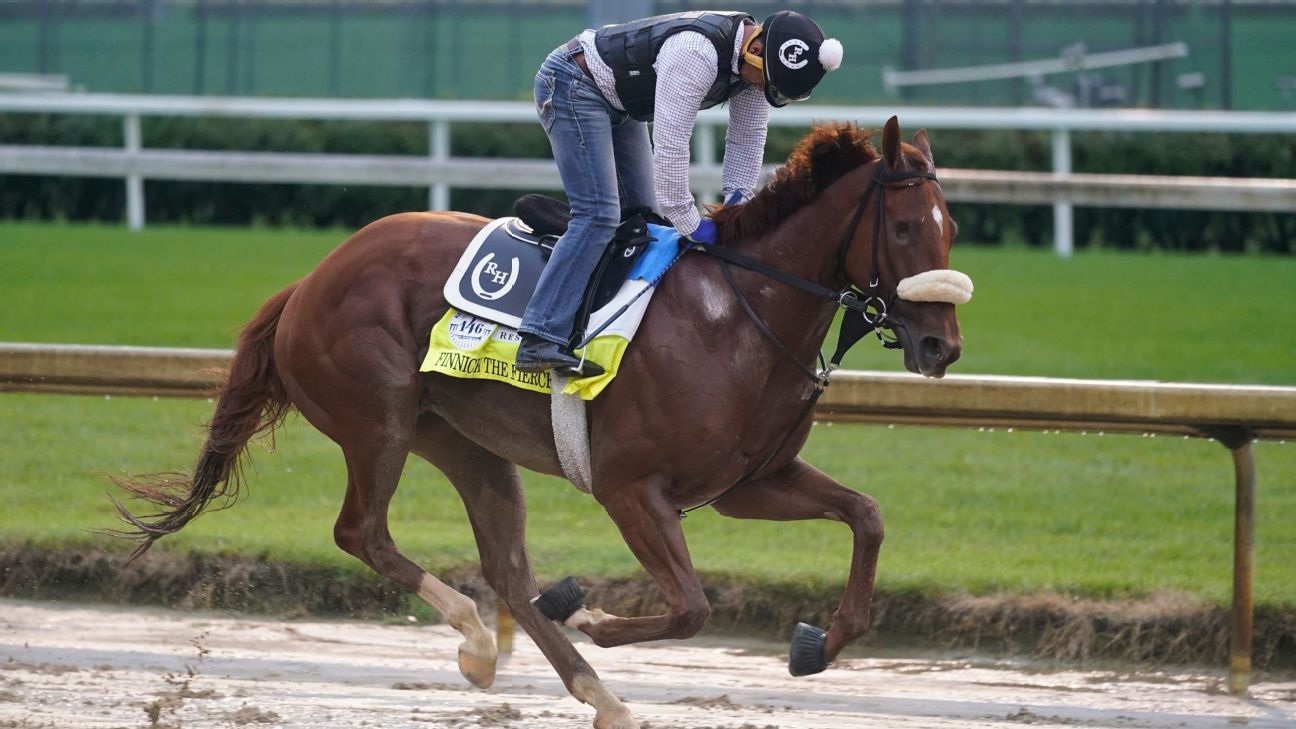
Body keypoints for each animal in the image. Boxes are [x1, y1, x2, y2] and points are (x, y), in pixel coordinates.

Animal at [114, 118, 964, 726]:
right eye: (903, 229)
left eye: (949, 227)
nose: (941, 346)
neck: (732, 315)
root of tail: (308, 280)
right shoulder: (630, 487)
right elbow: (692, 605)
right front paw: (588, 607)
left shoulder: (749, 483)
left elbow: (868, 515)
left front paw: (820, 642)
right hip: (377, 420)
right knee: (364, 533)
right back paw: (478, 640)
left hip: (465, 443)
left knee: (509, 572)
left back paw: (601, 697)